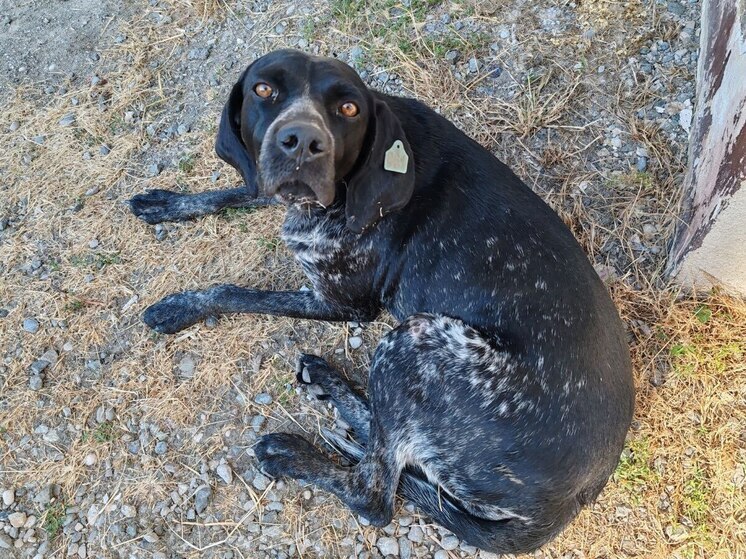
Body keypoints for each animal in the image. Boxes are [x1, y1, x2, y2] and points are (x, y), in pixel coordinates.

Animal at [129, 49, 632, 556]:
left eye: (349, 108)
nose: (302, 143)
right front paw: (169, 203)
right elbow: (243, 188)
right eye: (263, 89)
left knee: (373, 493)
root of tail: (569, 505)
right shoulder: (277, 189)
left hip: (414, 341)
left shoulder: (342, 304)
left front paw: (179, 307)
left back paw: (296, 452)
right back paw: (331, 383)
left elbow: (235, 292)